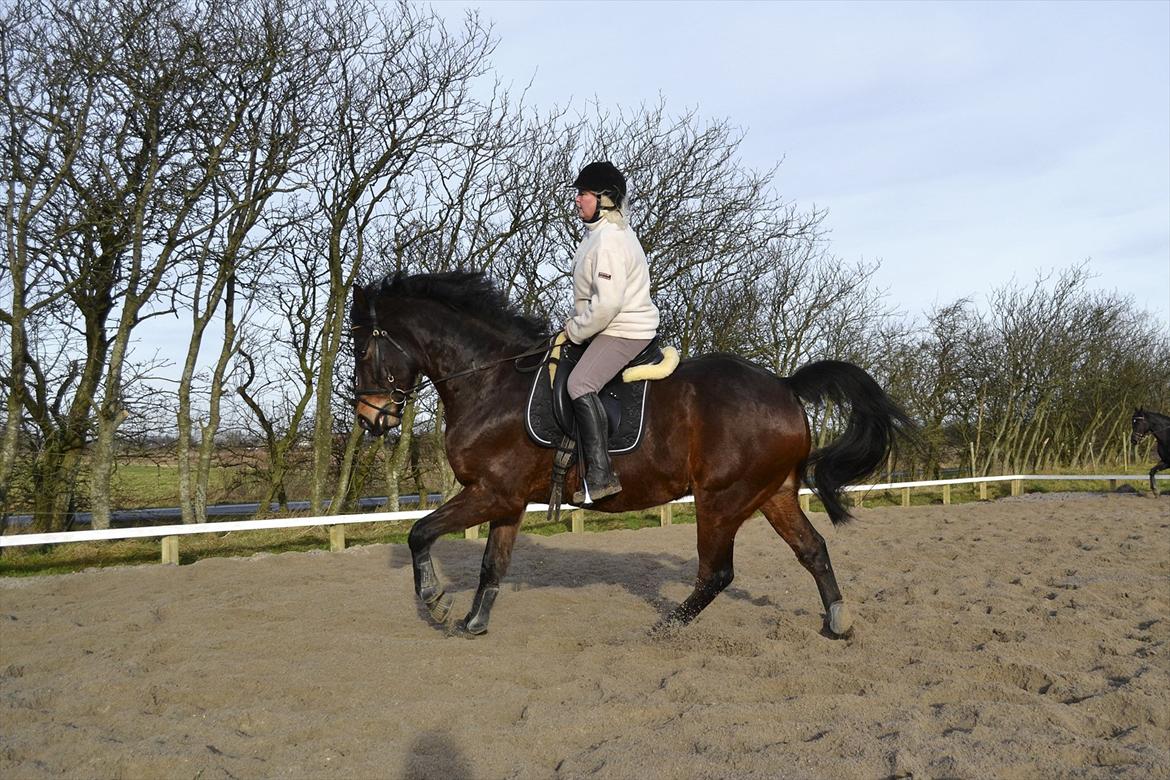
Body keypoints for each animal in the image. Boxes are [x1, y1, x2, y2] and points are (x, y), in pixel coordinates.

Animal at [348, 274, 912, 640]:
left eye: (362, 350)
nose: (371, 419)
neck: (491, 381)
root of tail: (785, 385)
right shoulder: (507, 500)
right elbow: (492, 565)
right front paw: (473, 622)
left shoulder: (489, 492)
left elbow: (419, 532)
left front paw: (435, 603)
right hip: (773, 493)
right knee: (812, 550)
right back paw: (838, 622)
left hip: (721, 499)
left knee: (717, 574)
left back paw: (663, 629)